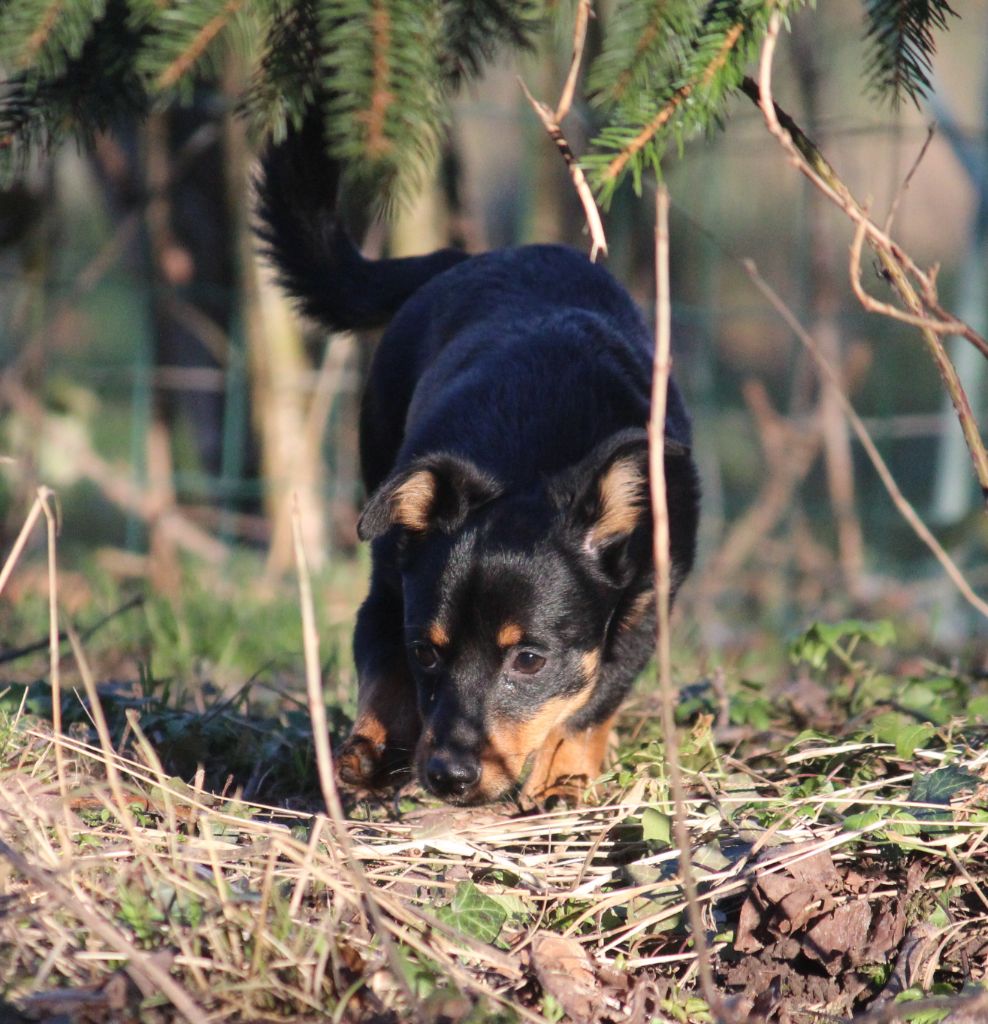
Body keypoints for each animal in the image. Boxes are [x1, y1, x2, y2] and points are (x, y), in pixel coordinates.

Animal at [258, 123, 696, 802]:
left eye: (529, 660)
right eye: (429, 653)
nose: (448, 777)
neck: (529, 460)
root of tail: (467, 259)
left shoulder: (649, 603)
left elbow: (593, 697)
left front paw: (563, 773)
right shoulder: (391, 591)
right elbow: (384, 663)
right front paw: (372, 751)